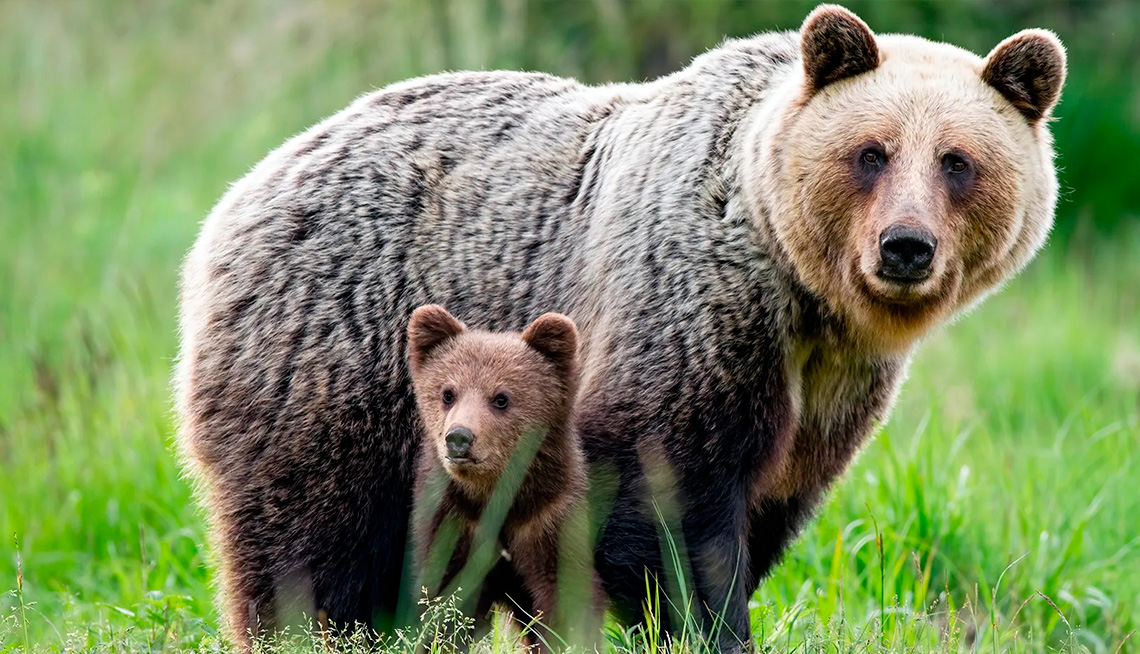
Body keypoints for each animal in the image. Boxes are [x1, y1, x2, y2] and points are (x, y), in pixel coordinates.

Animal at [405, 305, 601, 651]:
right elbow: (445, 599)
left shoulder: (549, 519)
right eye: (447, 393)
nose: (459, 438)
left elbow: (565, 597)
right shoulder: (454, 522)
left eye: (501, 398)